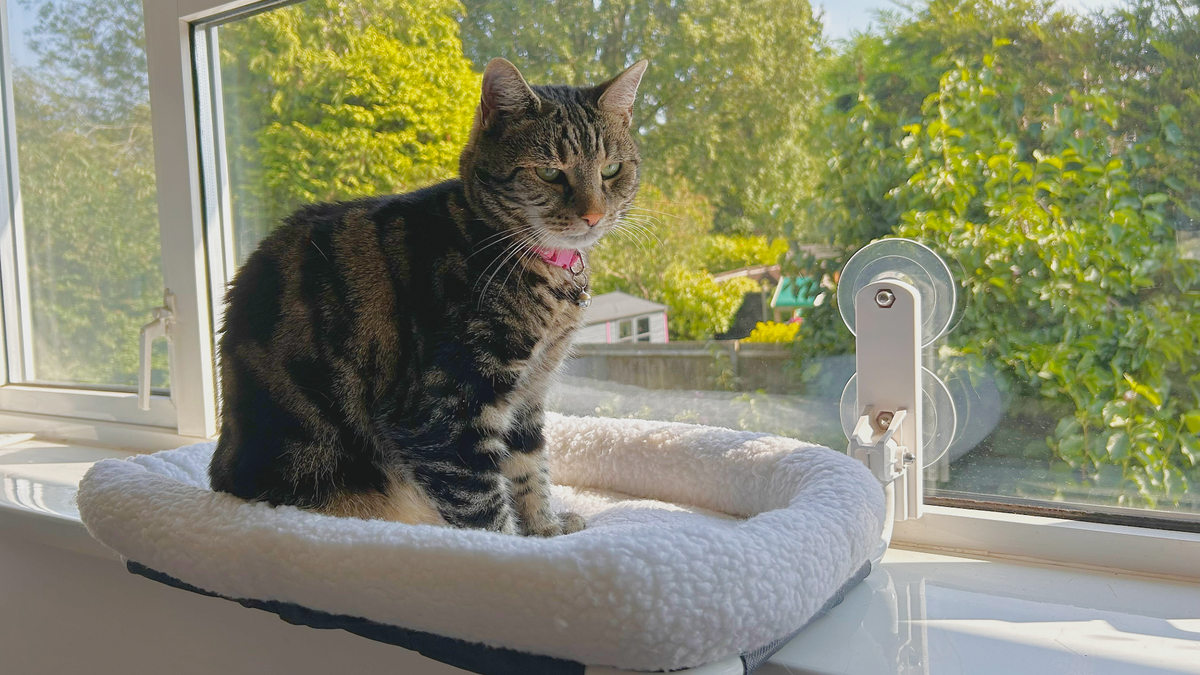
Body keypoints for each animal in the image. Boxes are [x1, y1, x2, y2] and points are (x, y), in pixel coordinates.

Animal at [211, 57, 652, 533]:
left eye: (611, 170)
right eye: (550, 172)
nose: (593, 215)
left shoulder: (528, 397)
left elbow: (529, 469)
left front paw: (545, 529)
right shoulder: (444, 414)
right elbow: (485, 510)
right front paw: (516, 543)